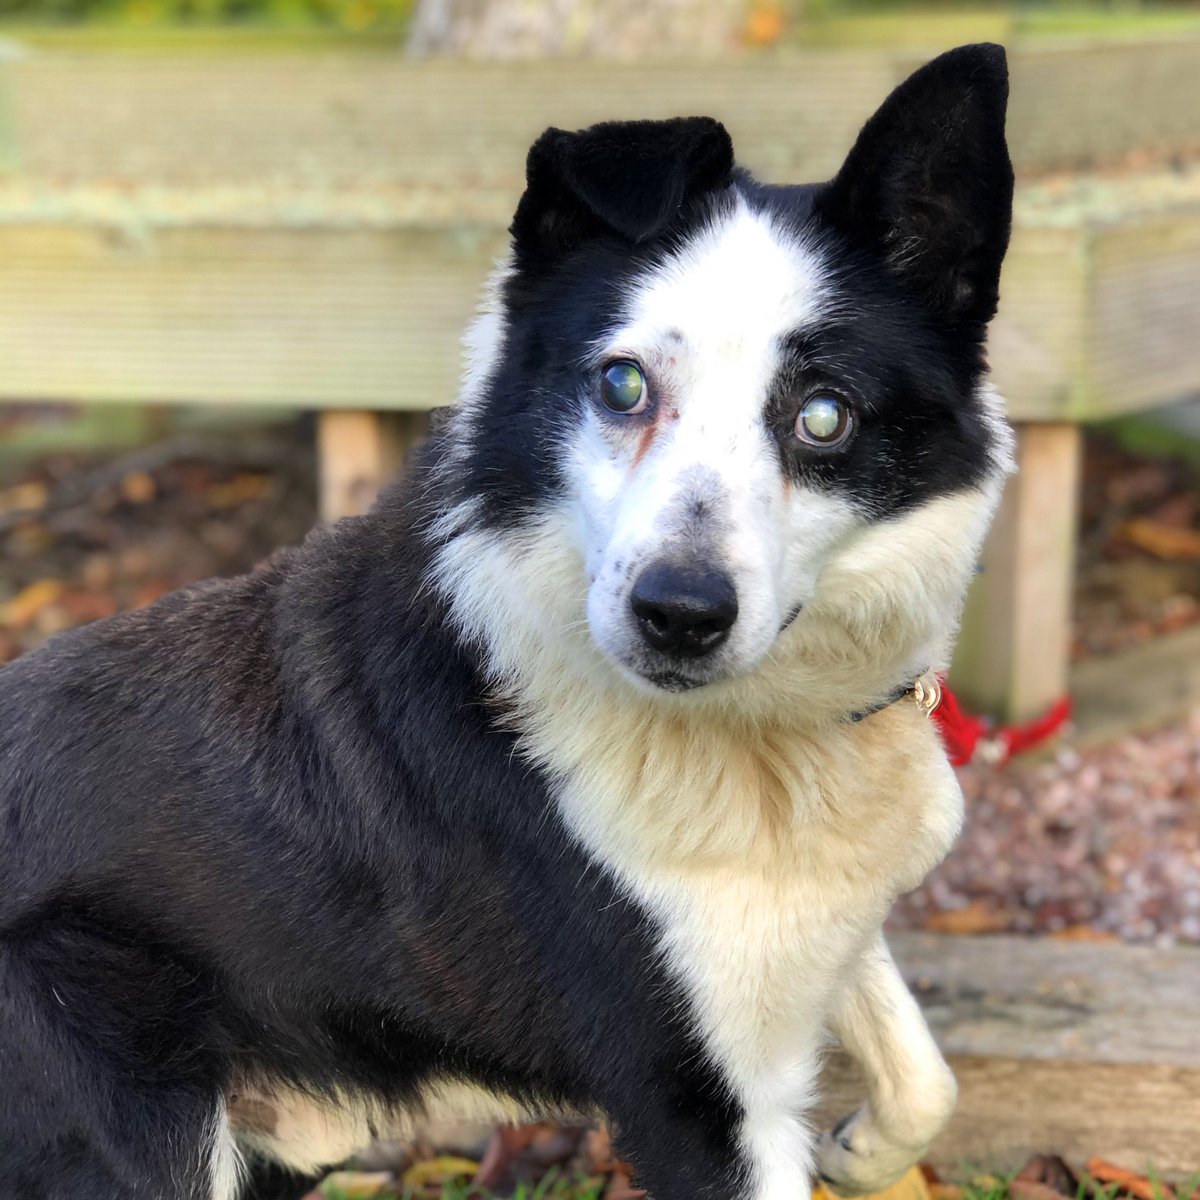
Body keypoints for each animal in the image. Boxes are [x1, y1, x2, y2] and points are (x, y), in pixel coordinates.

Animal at [0, 42, 1012, 1200]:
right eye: (622, 384)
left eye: (825, 416)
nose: (677, 615)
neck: (758, 734)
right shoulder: (700, 1103)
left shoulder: (810, 949)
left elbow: (927, 1078)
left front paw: (866, 1146)